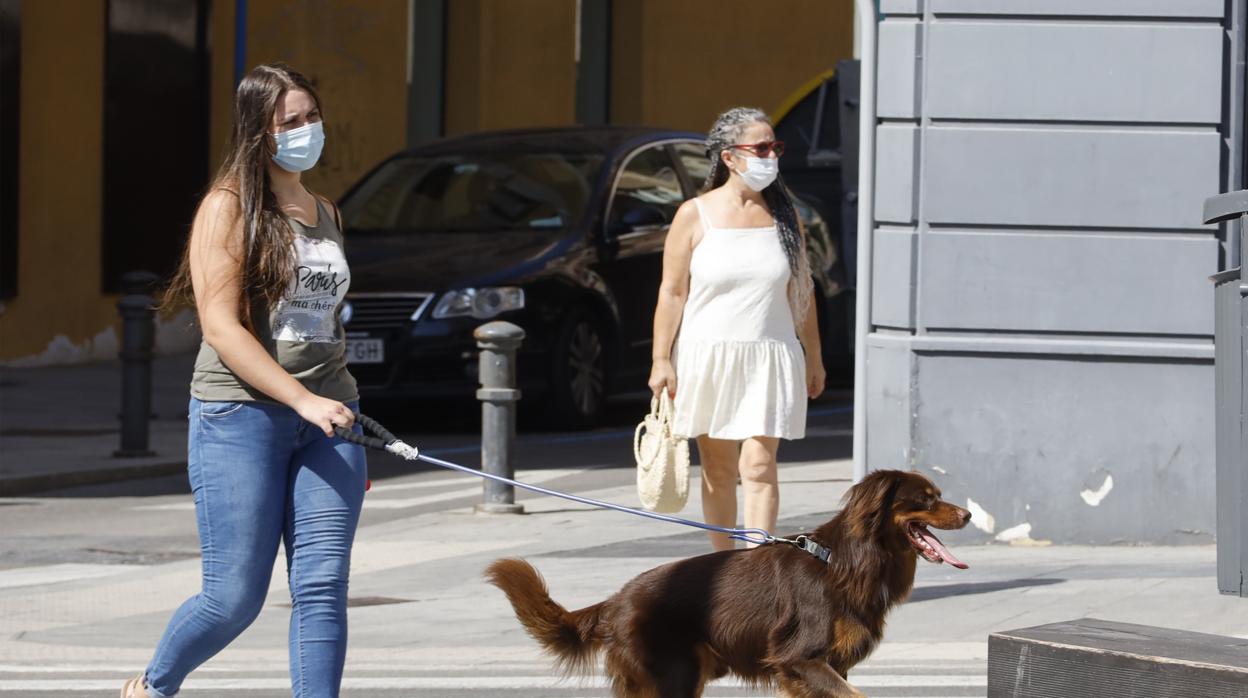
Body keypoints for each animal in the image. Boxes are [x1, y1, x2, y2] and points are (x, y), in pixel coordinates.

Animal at [481, 469, 968, 698]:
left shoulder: (825, 666)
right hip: (673, 675)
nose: (966, 513)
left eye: (940, 495)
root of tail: (615, 601)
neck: (845, 561)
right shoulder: (801, 657)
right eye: (927, 499)